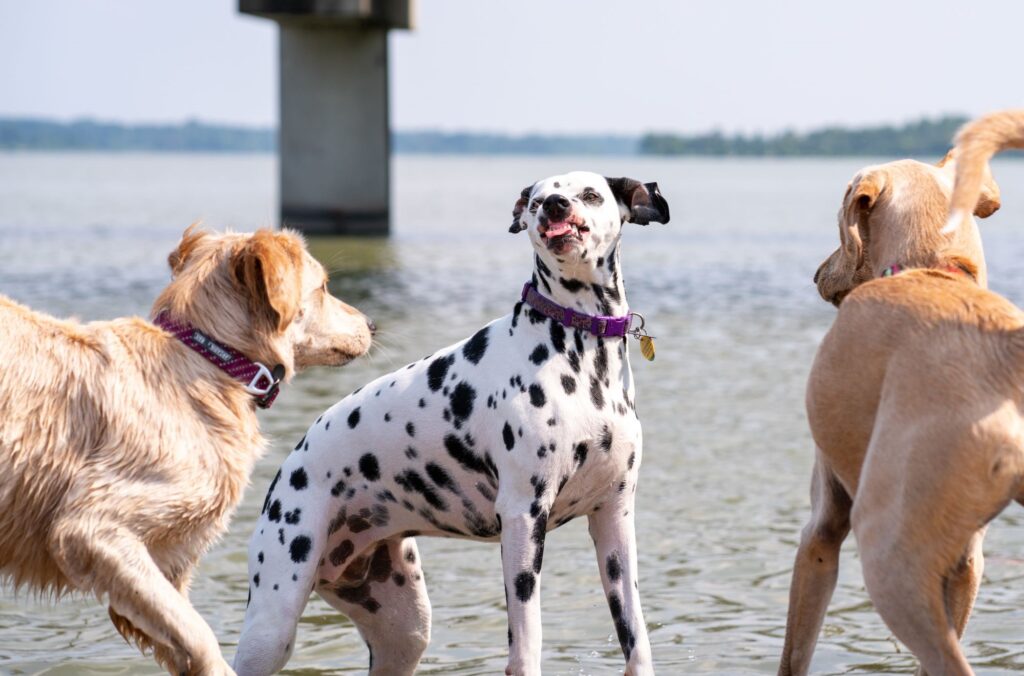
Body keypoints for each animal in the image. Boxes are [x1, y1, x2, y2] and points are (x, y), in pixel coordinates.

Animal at [0, 228, 368, 676]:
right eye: (325, 287)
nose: (371, 322)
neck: (209, 361)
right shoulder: (91, 528)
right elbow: (199, 636)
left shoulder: (165, 563)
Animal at [232, 172, 671, 671]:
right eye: (537, 200)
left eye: (591, 194)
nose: (555, 206)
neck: (581, 356)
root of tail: (289, 467)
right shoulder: (523, 518)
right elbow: (527, 641)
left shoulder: (614, 519)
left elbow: (635, 634)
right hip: (274, 625)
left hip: (403, 633)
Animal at [778, 108, 1019, 671]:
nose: (816, 274)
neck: (929, 268)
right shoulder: (968, 562)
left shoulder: (821, 528)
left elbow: (794, 654)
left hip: (890, 556)